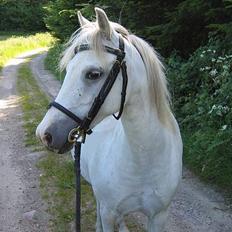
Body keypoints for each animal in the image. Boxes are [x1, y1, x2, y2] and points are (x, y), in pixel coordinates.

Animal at [36, 7, 182, 232]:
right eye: (68, 70)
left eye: (93, 74)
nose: (45, 134)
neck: (143, 159)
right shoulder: (109, 212)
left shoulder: (158, 216)